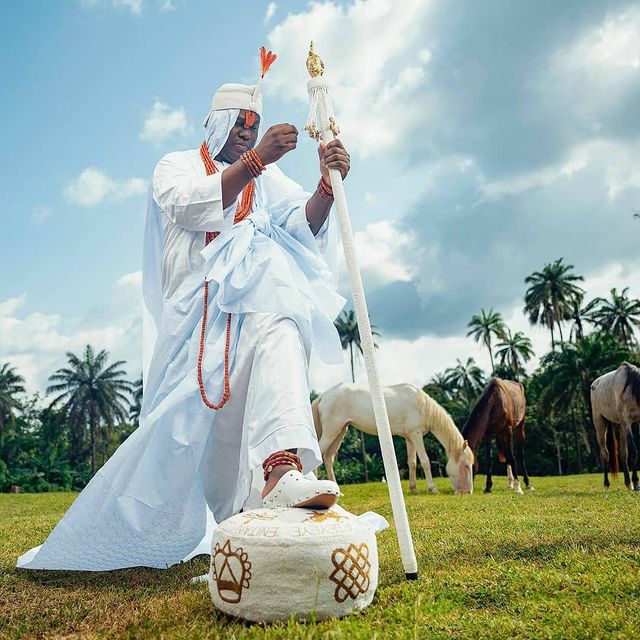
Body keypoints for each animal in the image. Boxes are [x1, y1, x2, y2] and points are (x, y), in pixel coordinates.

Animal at [310, 384, 476, 496]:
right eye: (466, 465)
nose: (468, 491)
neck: (422, 406)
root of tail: (323, 396)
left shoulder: (409, 437)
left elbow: (412, 462)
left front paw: (413, 488)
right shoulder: (416, 435)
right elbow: (425, 461)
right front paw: (432, 488)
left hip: (340, 431)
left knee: (328, 457)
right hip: (332, 431)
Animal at [592, 360, 640, 490]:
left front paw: (633, 482)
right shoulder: (626, 421)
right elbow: (634, 451)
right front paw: (636, 482)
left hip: (621, 426)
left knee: (623, 453)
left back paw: (628, 483)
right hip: (600, 424)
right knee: (605, 453)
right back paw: (606, 484)